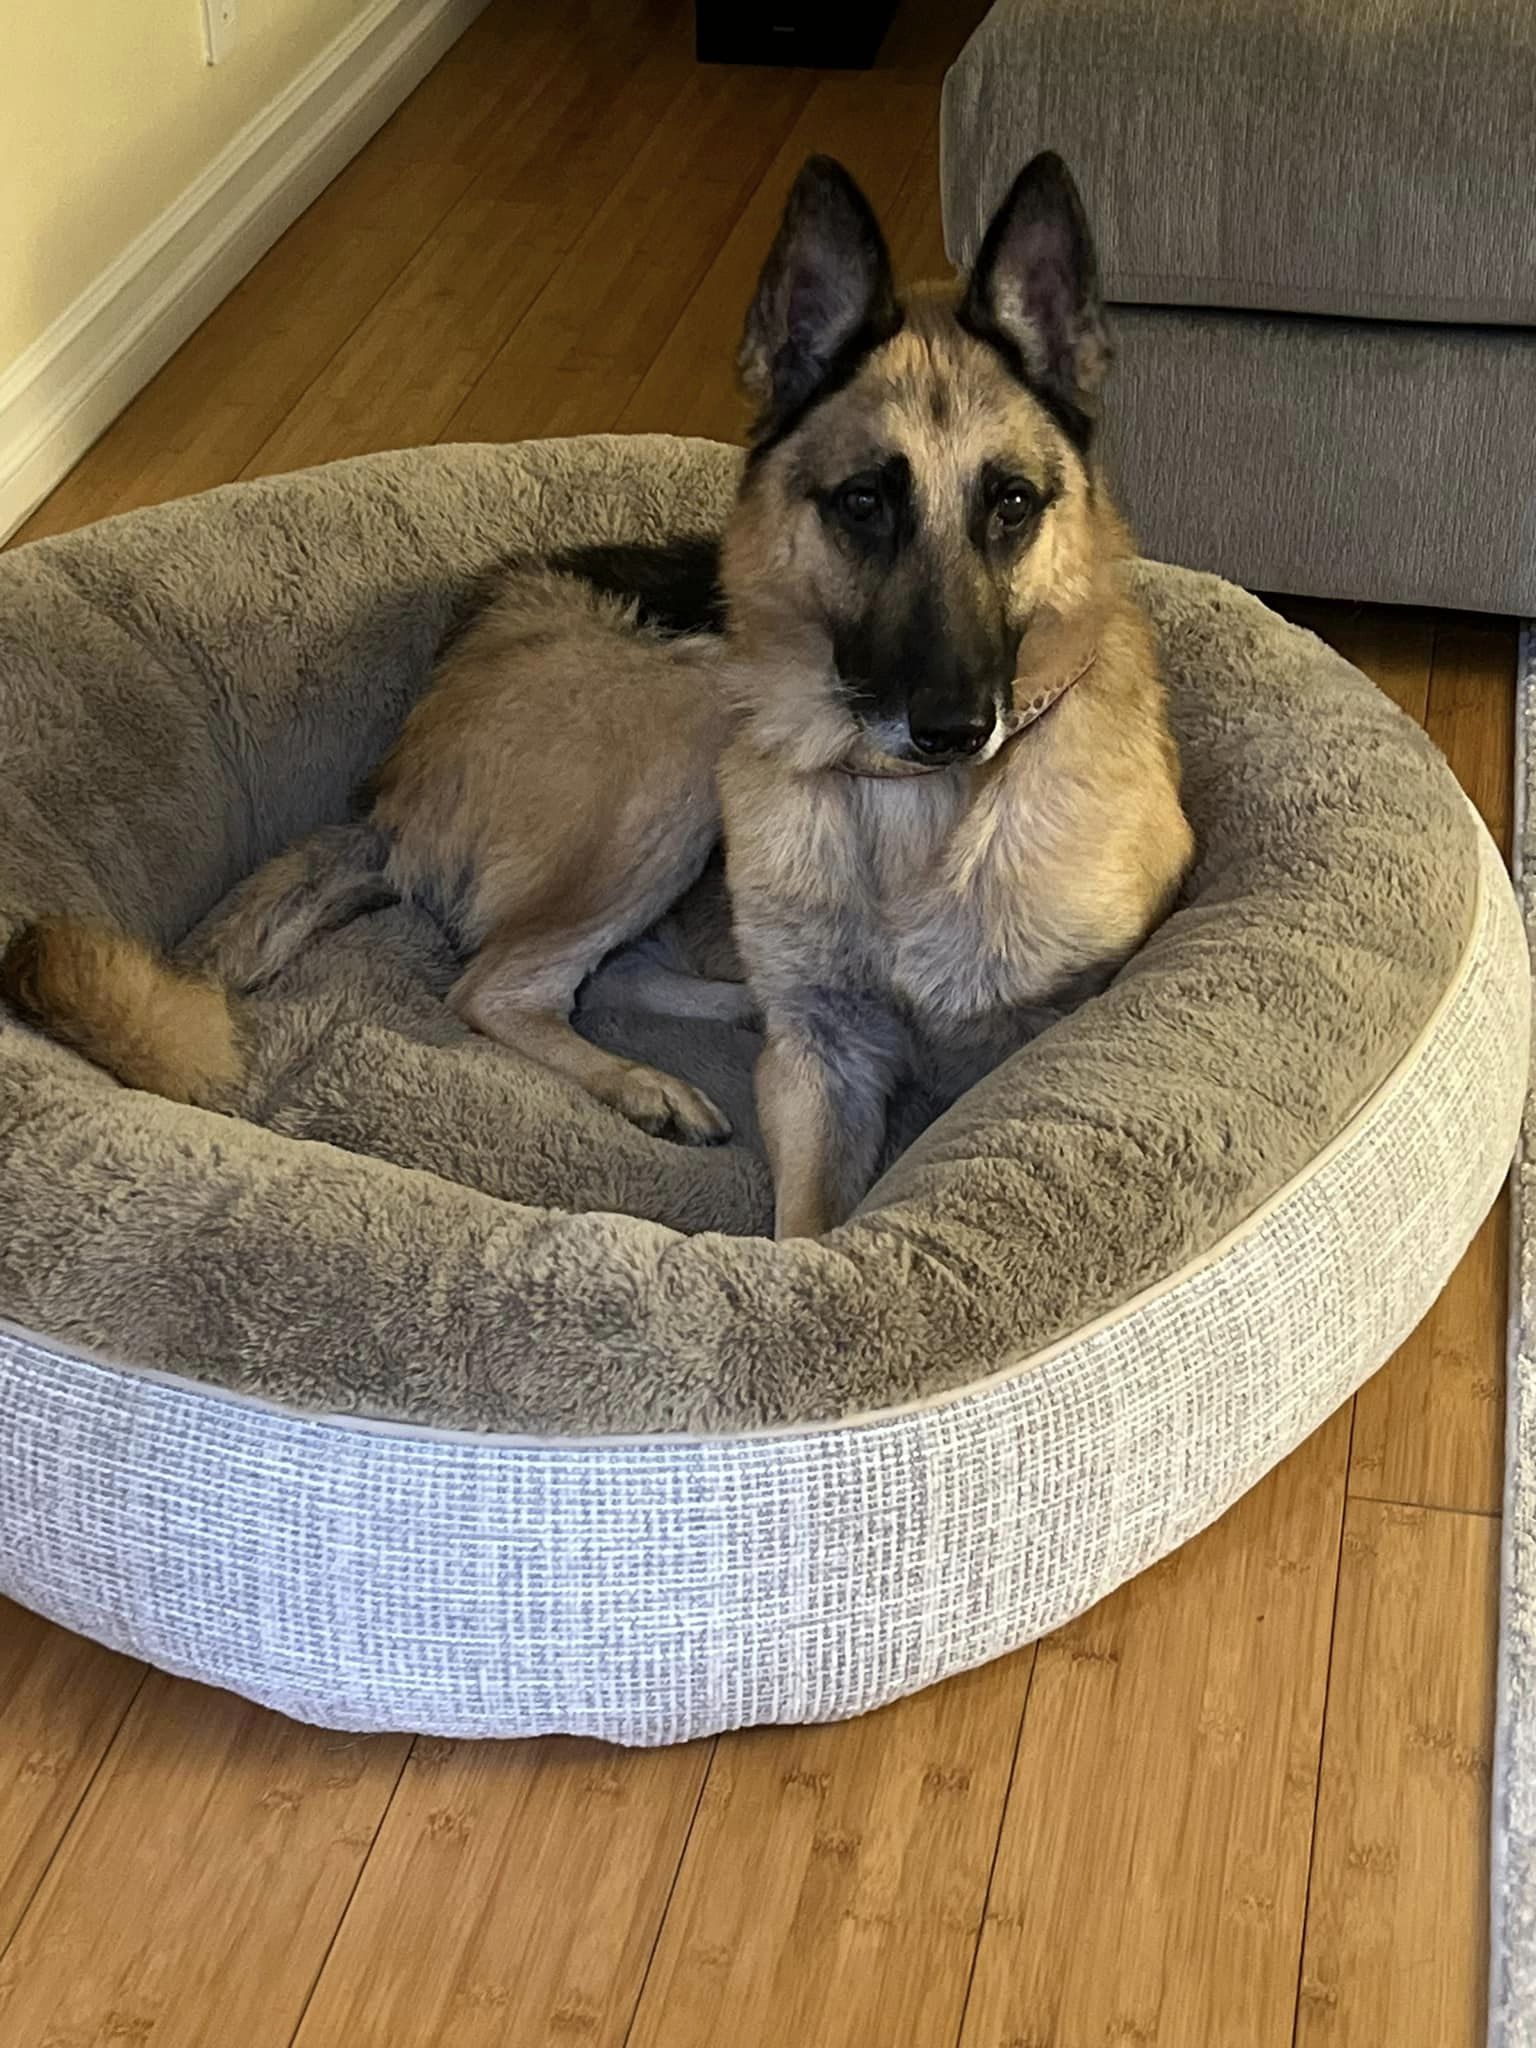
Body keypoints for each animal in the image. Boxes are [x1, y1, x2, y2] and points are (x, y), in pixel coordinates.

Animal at [0, 151, 1196, 1236]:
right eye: (863, 503)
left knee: (589, 976)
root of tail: (386, 791)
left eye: (1013, 503)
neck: (910, 813)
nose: (952, 728)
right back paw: (647, 1077)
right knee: (497, 983)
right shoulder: (821, 1066)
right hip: (676, 738)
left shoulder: (1025, 1030)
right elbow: (809, 1232)